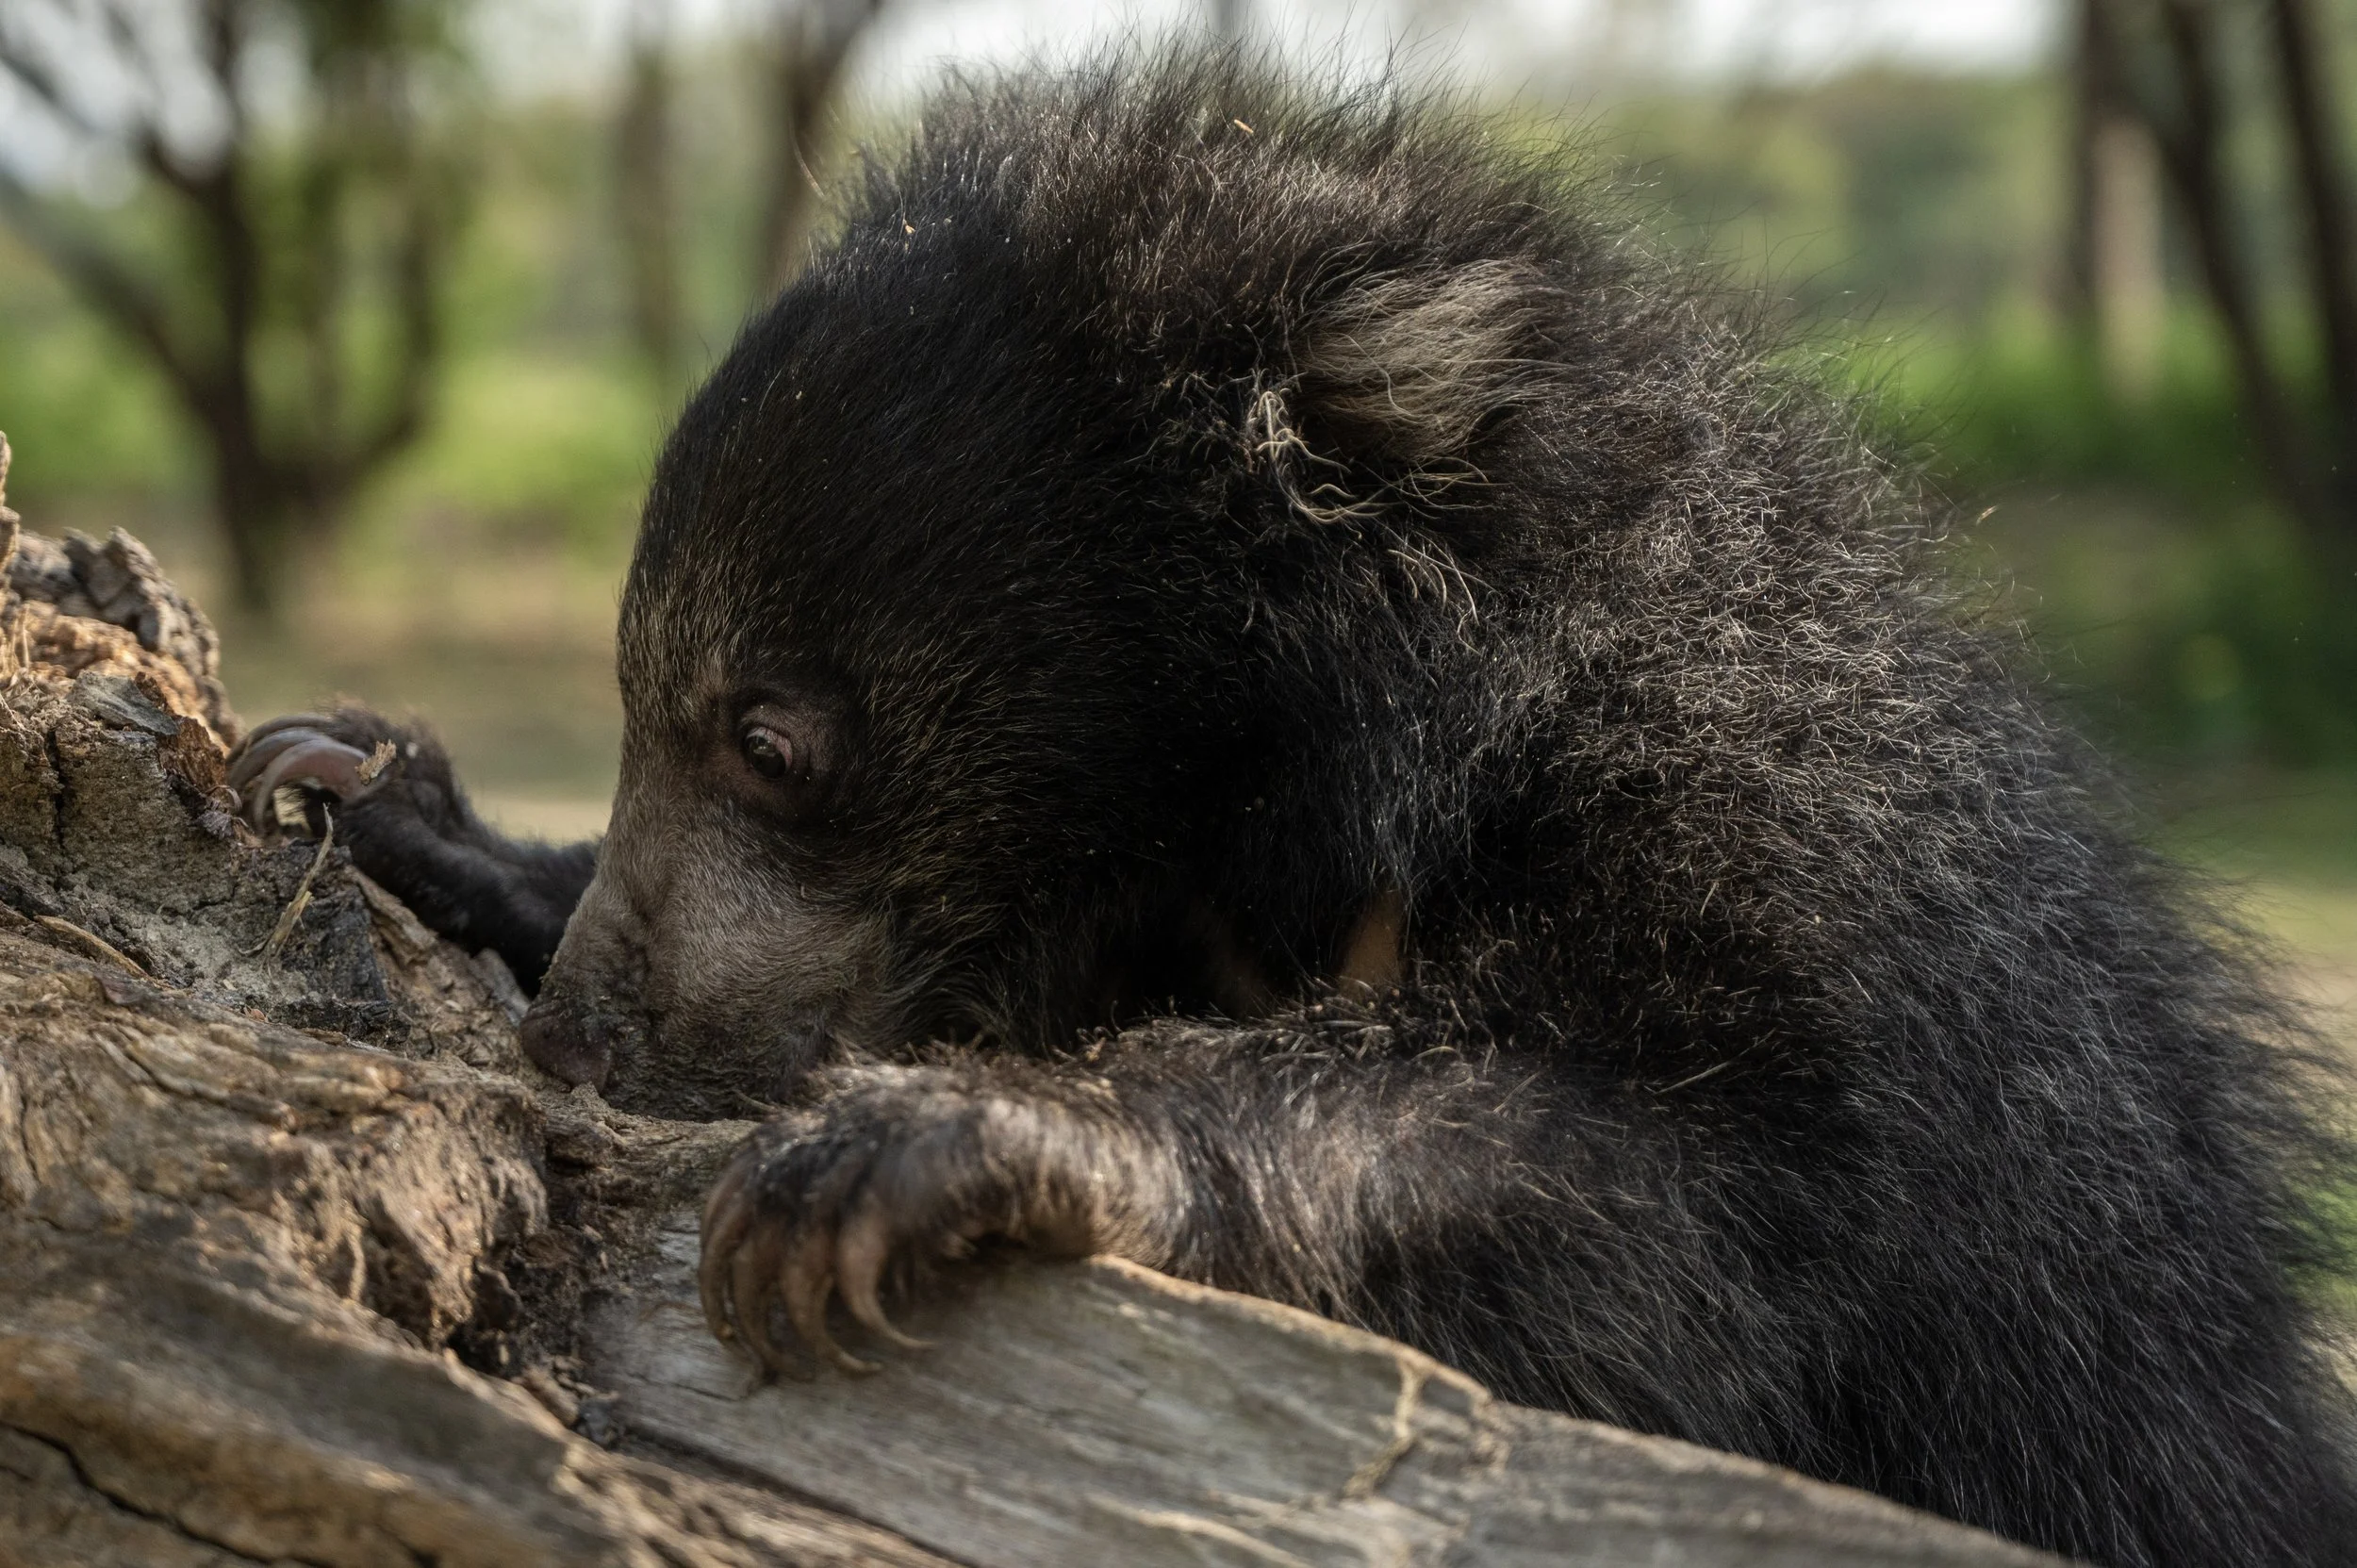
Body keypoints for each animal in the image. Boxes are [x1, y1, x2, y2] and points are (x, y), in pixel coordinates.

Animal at [228, 52, 2357, 1568]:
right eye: (632, 713)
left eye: (766, 738)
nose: (587, 1040)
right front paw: (364, 790)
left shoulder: (1830, 935)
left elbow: (1699, 1223)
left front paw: (916, 1149)